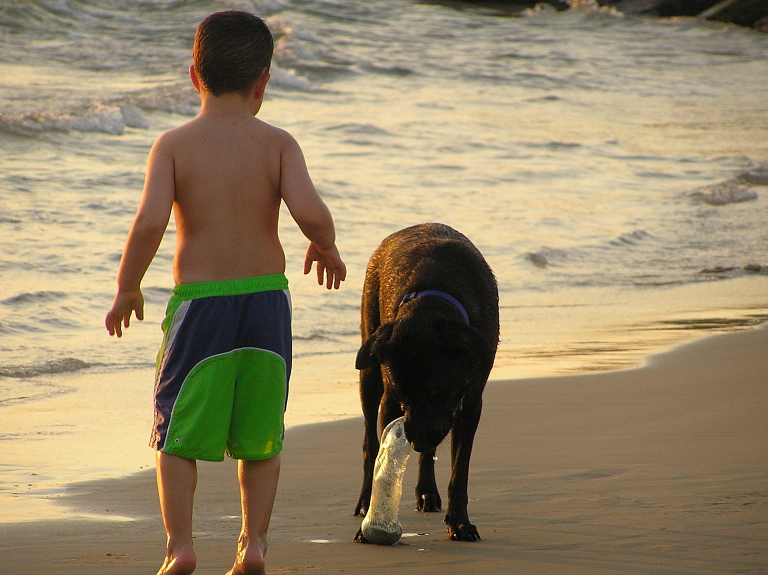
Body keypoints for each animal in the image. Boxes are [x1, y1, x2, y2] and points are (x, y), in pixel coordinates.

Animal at [352, 223, 498, 544]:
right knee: (369, 443)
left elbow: (459, 471)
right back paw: (366, 500)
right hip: (370, 361)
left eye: (436, 391)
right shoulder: (390, 401)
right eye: (402, 395)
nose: (416, 440)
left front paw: (459, 522)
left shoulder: (471, 403)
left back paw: (427, 492)